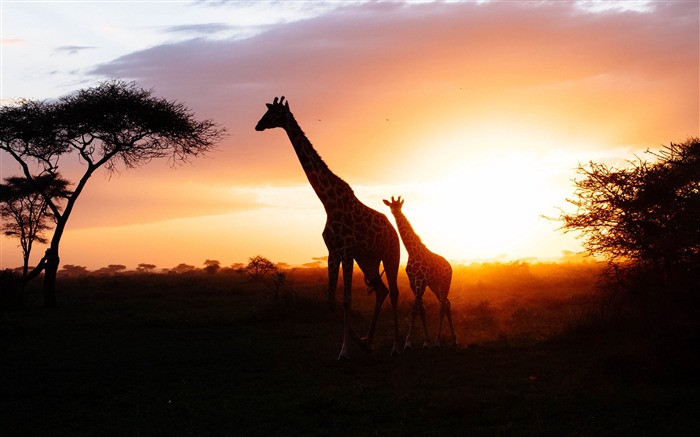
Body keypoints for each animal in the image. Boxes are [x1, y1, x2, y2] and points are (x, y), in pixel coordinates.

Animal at [256, 96, 400, 358]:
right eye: (267, 112)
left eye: (275, 114)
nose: (258, 125)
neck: (328, 202)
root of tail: (393, 230)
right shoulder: (333, 252)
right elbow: (331, 300)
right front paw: (358, 342)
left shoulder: (347, 251)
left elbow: (346, 300)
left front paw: (344, 350)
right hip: (369, 260)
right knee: (382, 291)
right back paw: (369, 341)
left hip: (390, 254)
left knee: (393, 292)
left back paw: (396, 345)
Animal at [382, 195, 460, 348]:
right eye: (391, 206)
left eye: (399, 205)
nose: (395, 211)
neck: (412, 251)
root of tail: (449, 266)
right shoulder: (413, 282)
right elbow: (421, 308)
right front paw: (425, 340)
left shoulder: (421, 281)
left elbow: (414, 308)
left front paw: (408, 342)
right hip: (435, 286)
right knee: (447, 304)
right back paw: (453, 340)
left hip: (445, 283)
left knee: (442, 306)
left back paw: (438, 341)